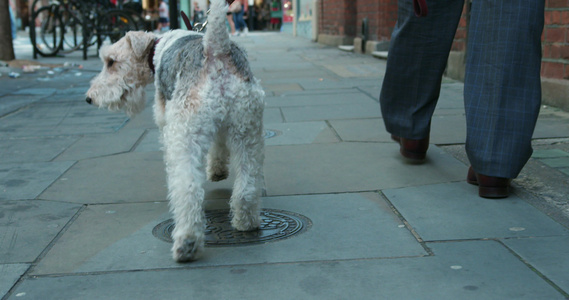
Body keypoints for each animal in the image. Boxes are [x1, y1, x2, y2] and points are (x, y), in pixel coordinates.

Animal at [85, 0, 266, 262]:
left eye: (111, 61)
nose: (89, 98)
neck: (158, 48)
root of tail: (216, 52)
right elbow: (219, 146)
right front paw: (217, 171)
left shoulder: (166, 119)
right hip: (248, 130)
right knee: (247, 185)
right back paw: (246, 222)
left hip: (186, 134)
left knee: (188, 189)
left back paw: (186, 243)